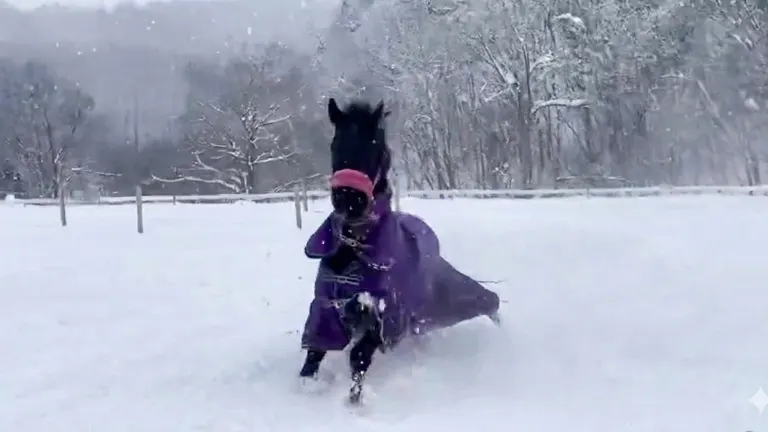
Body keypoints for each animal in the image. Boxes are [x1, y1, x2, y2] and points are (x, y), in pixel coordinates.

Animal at [298, 97, 501, 404]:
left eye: (377, 146)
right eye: (335, 143)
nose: (348, 198)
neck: (356, 247)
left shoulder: (389, 315)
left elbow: (359, 355)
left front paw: (354, 401)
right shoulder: (325, 307)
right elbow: (314, 353)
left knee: (486, 301)